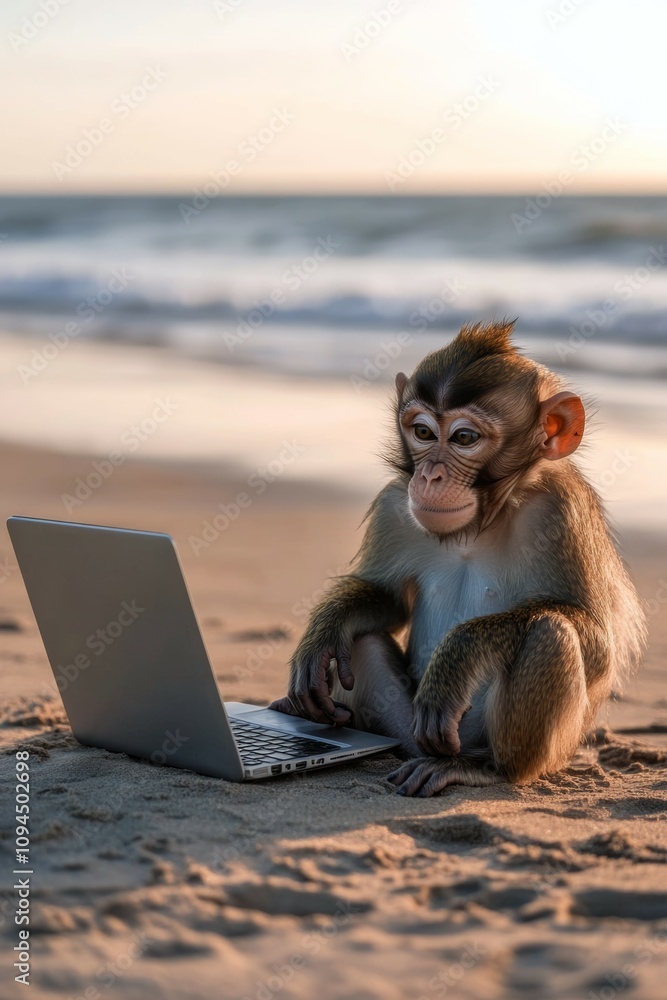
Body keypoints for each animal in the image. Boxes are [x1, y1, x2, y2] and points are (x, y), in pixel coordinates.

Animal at [269, 321, 646, 797]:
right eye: (423, 432)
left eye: (464, 438)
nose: (430, 476)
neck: (479, 524)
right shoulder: (395, 503)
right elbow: (387, 599)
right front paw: (324, 630)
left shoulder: (560, 507)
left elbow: (597, 644)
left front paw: (460, 657)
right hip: (407, 727)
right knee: (362, 640)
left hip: (498, 741)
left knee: (550, 630)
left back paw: (485, 768)